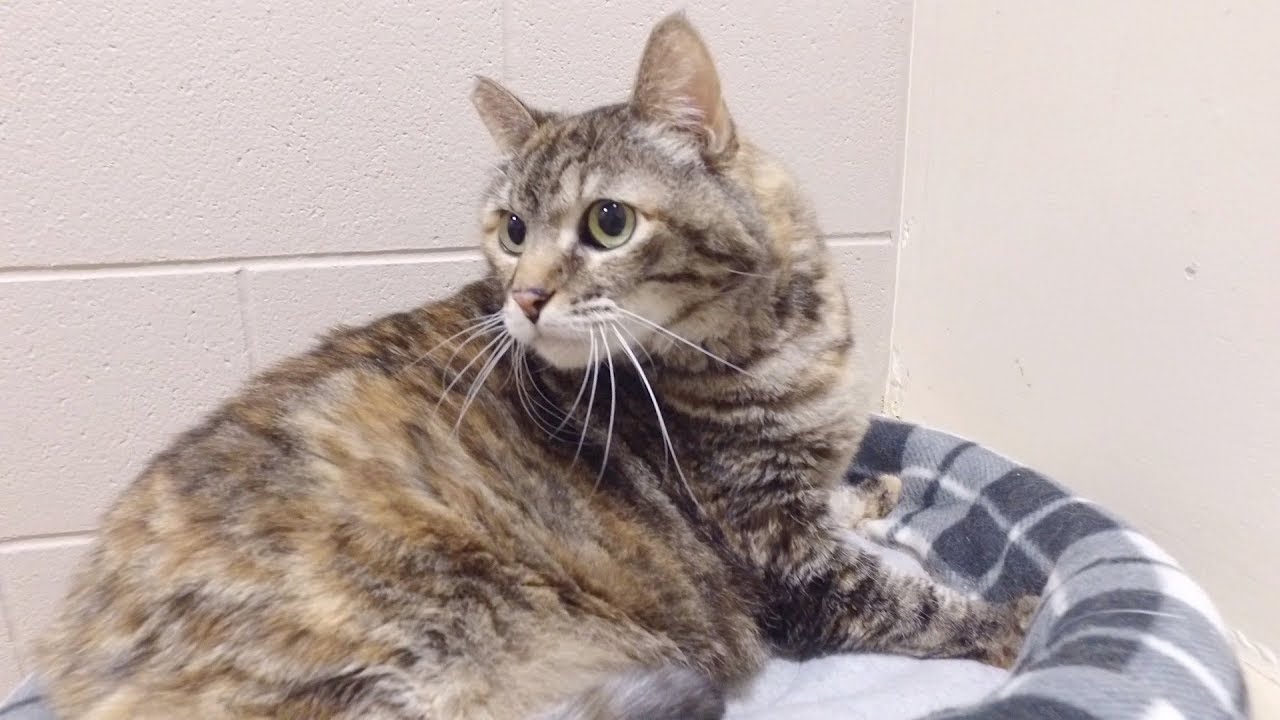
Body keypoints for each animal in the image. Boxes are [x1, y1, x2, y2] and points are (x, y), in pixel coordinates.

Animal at [36, 13, 1035, 720]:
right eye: (512, 230)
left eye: (607, 222)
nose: (524, 296)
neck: (785, 343)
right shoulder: (774, 553)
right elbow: (900, 599)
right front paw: (1018, 622)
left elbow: (843, 502)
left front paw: (871, 490)